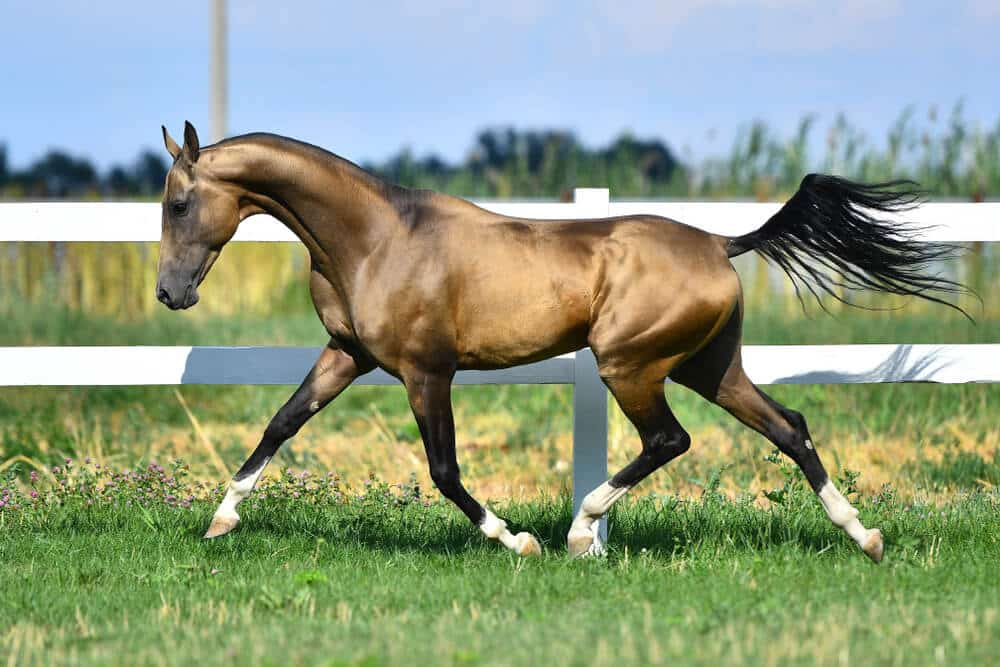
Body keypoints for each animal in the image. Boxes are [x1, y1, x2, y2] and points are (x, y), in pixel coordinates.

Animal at [156, 121, 967, 561]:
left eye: (178, 202)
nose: (170, 293)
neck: (380, 238)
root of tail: (720, 241)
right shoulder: (347, 356)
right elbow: (281, 422)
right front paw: (221, 519)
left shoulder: (426, 371)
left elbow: (444, 470)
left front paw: (518, 539)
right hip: (711, 368)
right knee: (789, 427)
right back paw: (864, 536)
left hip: (630, 364)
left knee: (670, 439)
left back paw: (580, 531)